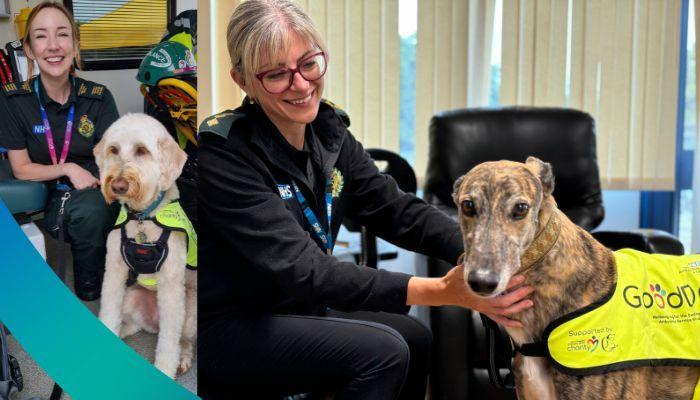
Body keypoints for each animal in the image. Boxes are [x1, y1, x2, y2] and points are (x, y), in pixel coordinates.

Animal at [93, 113, 197, 378]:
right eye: (113, 149)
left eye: (142, 150)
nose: (118, 185)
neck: (143, 217)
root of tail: (153, 322)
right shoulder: (114, 274)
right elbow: (109, 313)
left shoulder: (171, 287)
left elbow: (169, 343)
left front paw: (165, 370)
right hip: (131, 297)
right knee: (129, 324)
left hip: (189, 309)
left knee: (183, 340)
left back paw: (182, 359)